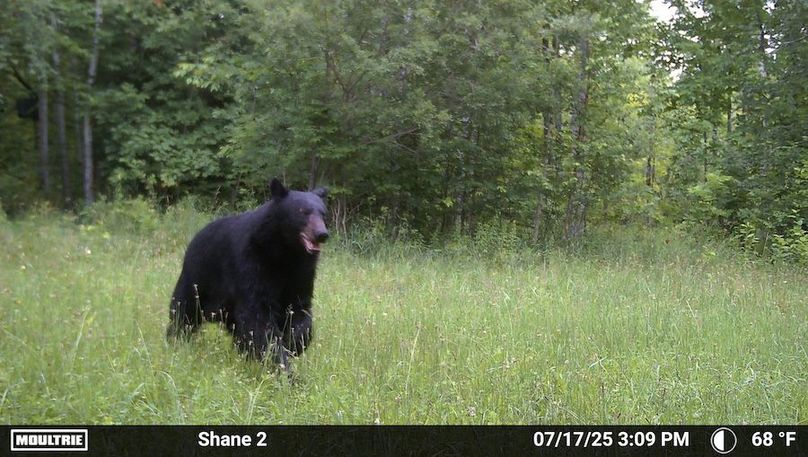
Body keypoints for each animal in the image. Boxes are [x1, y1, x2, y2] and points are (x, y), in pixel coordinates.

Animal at [167, 178, 329, 370]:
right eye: (303, 212)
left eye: (323, 213)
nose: (322, 234)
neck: (284, 251)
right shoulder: (252, 262)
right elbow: (258, 316)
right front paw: (279, 362)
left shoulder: (301, 272)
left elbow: (299, 308)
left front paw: (293, 342)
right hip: (198, 277)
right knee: (184, 310)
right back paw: (175, 339)